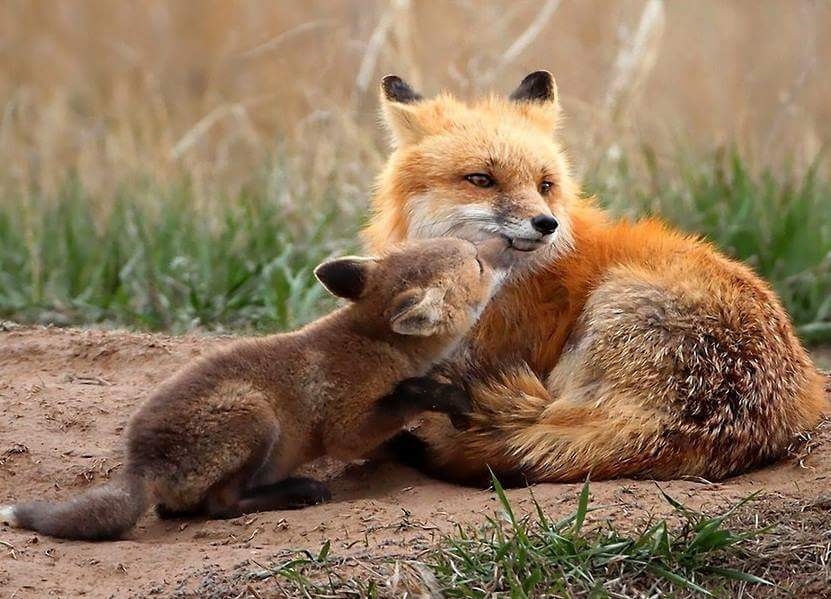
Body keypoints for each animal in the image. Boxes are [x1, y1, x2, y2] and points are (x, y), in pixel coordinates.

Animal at [0, 237, 510, 540]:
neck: (376, 341)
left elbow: (398, 434)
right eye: (478, 263)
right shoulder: (345, 426)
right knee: (220, 506)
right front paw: (447, 400)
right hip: (255, 417)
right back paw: (299, 491)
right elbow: (405, 397)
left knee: (175, 511)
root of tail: (140, 466)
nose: (509, 240)